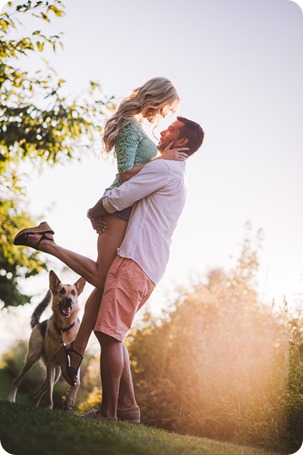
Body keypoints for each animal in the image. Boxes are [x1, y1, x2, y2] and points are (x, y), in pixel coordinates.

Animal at [7, 268, 85, 412]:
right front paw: (49, 407)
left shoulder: (73, 363)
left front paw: (70, 400)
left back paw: (35, 405)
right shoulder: (51, 364)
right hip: (33, 358)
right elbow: (49, 391)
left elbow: (77, 382)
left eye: (73, 293)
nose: (69, 300)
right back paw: (11, 398)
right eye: (61, 291)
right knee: (18, 380)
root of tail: (39, 323)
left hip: (58, 372)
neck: (63, 329)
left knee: (39, 391)